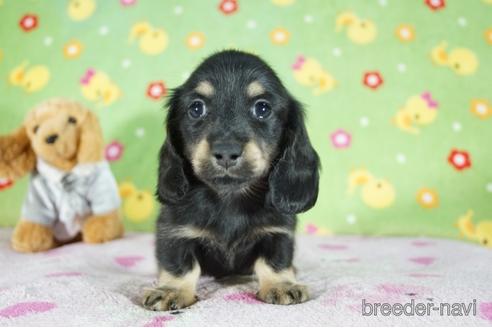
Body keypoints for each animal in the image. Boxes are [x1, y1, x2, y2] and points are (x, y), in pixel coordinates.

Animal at [141, 50, 320, 312]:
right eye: (196, 108)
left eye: (262, 108)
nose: (226, 151)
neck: (229, 198)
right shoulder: (174, 231)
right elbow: (179, 265)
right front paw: (171, 289)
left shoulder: (278, 231)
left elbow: (275, 261)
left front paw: (281, 284)